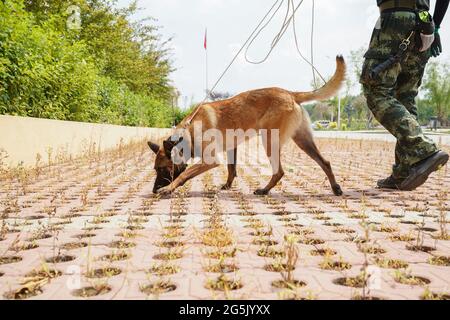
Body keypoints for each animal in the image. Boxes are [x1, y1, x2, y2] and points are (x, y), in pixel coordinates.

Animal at [149, 55, 346, 195]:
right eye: (155, 169)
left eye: (163, 169)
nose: (153, 190)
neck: (188, 131)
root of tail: (290, 93)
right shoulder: (231, 149)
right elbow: (231, 169)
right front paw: (227, 186)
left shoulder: (211, 160)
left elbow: (184, 173)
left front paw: (169, 188)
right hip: (302, 140)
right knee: (325, 162)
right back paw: (335, 188)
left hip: (269, 140)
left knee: (279, 171)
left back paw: (264, 190)